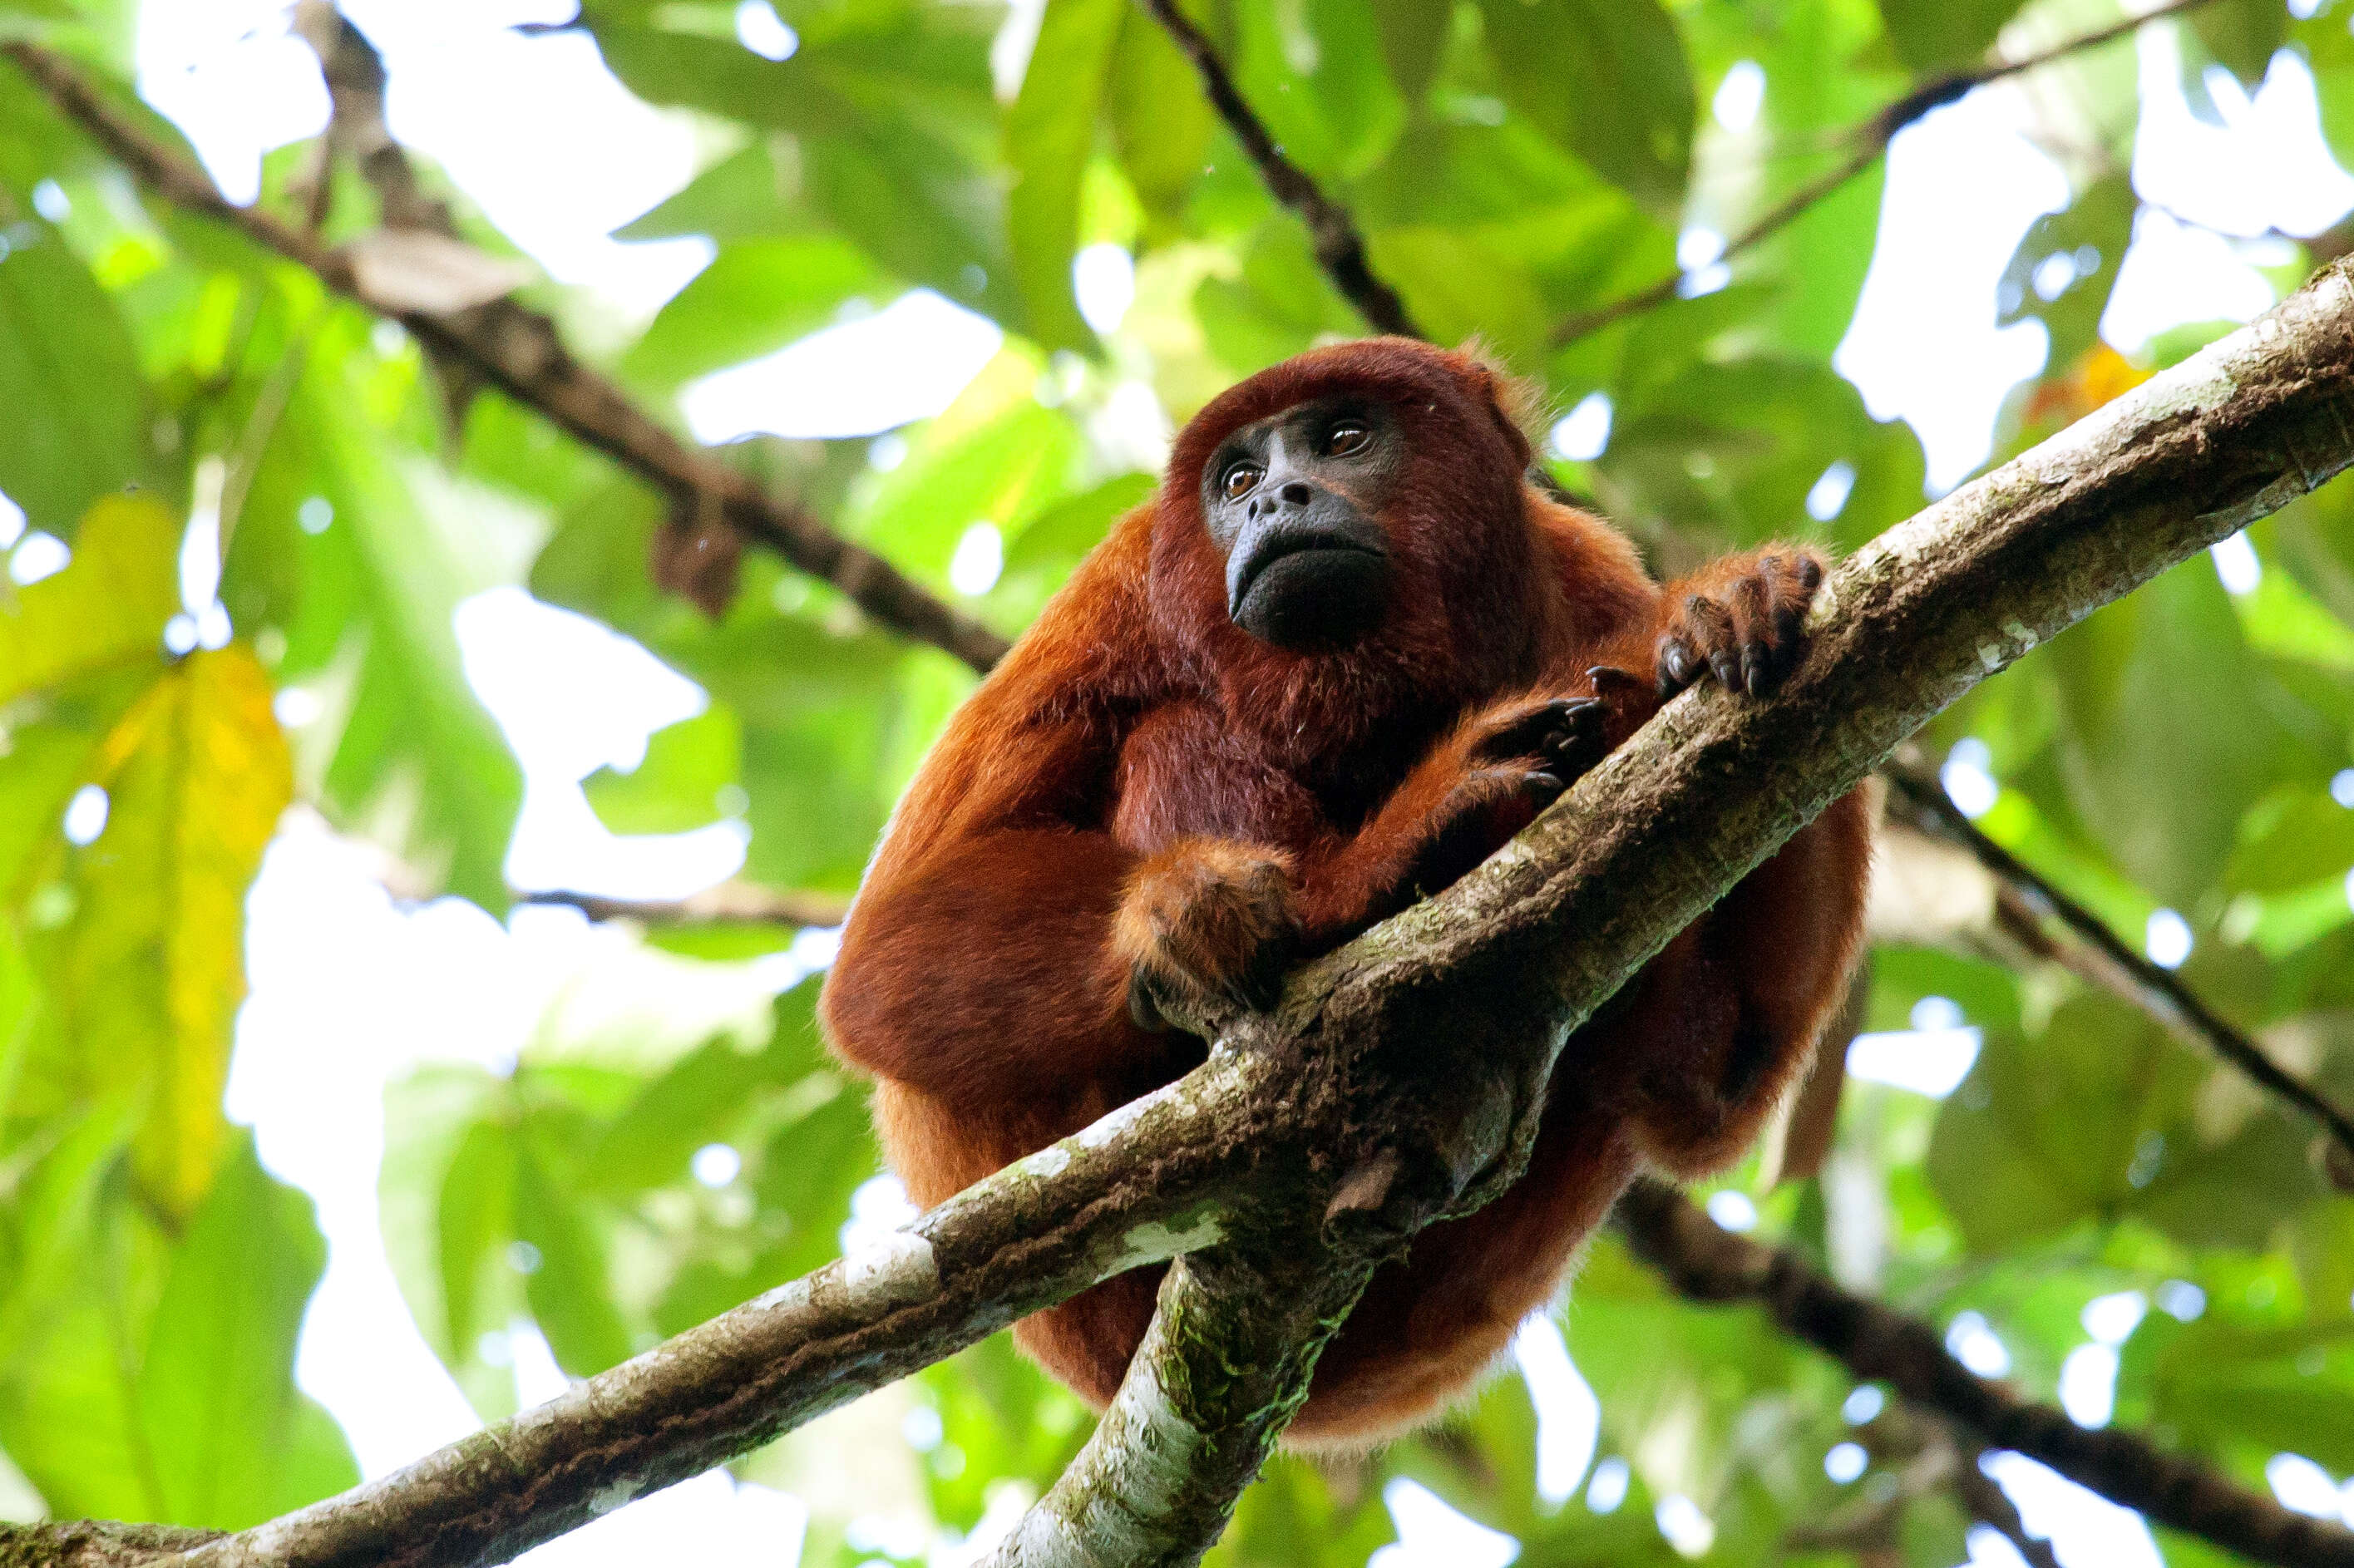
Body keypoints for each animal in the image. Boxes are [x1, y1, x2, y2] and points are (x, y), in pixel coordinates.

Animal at [828, 336, 1873, 1450]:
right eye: (1234, 479)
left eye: (1341, 437)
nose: (1274, 498)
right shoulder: (1115, 594)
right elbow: (878, 964)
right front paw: (1220, 910)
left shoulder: (1587, 574)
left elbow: (1717, 1088)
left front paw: (1733, 600)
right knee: (1169, 730)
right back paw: (1355, 885)